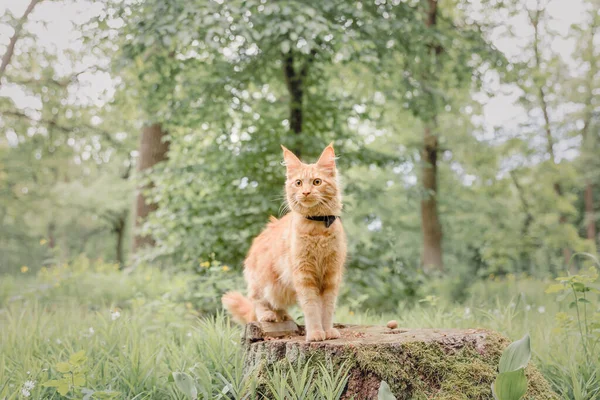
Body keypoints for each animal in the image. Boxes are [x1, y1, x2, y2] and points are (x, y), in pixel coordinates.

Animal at [223, 144, 346, 340]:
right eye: (298, 183)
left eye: (317, 182)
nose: (306, 192)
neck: (317, 229)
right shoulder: (304, 276)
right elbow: (311, 308)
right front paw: (315, 333)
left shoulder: (331, 275)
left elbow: (327, 308)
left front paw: (327, 331)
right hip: (263, 282)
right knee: (257, 301)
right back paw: (268, 315)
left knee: (278, 306)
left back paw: (284, 316)